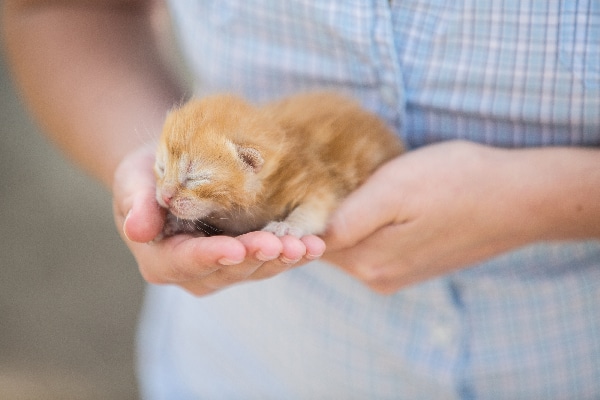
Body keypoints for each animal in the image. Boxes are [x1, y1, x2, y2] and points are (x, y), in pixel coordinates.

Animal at [155, 92, 406, 239]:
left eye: (195, 177)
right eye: (162, 168)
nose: (165, 196)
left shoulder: (314, 181)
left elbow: (315, 208)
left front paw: (288, 225)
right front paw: (178, 223)